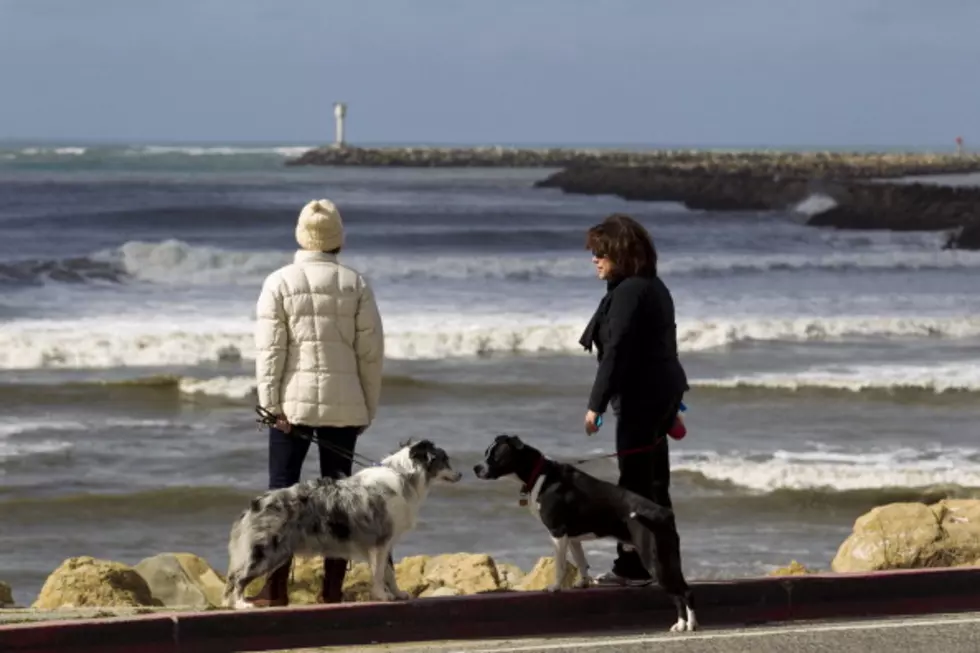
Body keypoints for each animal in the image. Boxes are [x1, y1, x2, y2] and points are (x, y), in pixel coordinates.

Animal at [224, 438, 462, 608]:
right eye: (445, 459)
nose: (460, 474)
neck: (404, 476)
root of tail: (255, 504)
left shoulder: (386, 543)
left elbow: (389, 572)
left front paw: (398, 593)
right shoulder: (380, 542)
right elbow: (379, 573)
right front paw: (382, 596)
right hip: (268, 552)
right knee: (238, 578)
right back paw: (242, 604)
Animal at [474, 432, 696, 632]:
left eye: (495, 456)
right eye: (485, 453)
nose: (476, 468)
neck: (539, 474)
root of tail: (664, 513)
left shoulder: (557, 533)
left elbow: (560, 565)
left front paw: (555, 587)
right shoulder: (572, 538)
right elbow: (581, 561)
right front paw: (582, 583)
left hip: (654, 560)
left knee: (679, 595)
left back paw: (681, 625)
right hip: (669, 558)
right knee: (687, 591)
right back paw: (691, 624)